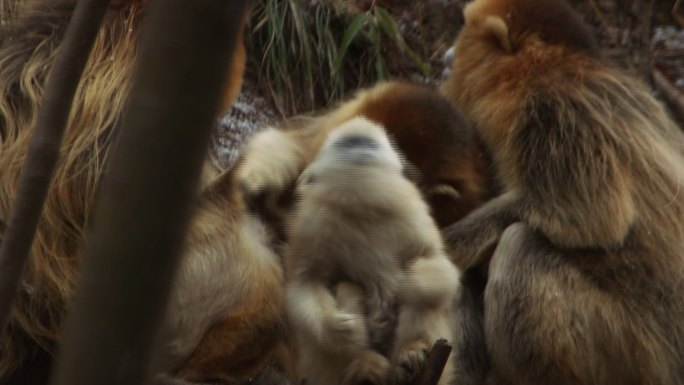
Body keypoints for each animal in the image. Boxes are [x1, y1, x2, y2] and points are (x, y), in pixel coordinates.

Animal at [284, 118, 460, 384]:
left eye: (369, 143)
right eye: (348, 143)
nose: (360, 146)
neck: (362, 202)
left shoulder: (412, 211)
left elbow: (434, 263)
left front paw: (414, 282)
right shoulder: (312, 223)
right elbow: (305, 281)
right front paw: (338, 328)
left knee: (424, 299)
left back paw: (409, 355)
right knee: (347, 286)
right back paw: (365, 367)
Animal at [438, 0, 684, 384]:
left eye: (464, 32)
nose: (447, 56)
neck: (555, 66)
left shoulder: (552, 109)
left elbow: (595, 215)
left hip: (632, 354)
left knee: (521, 247)